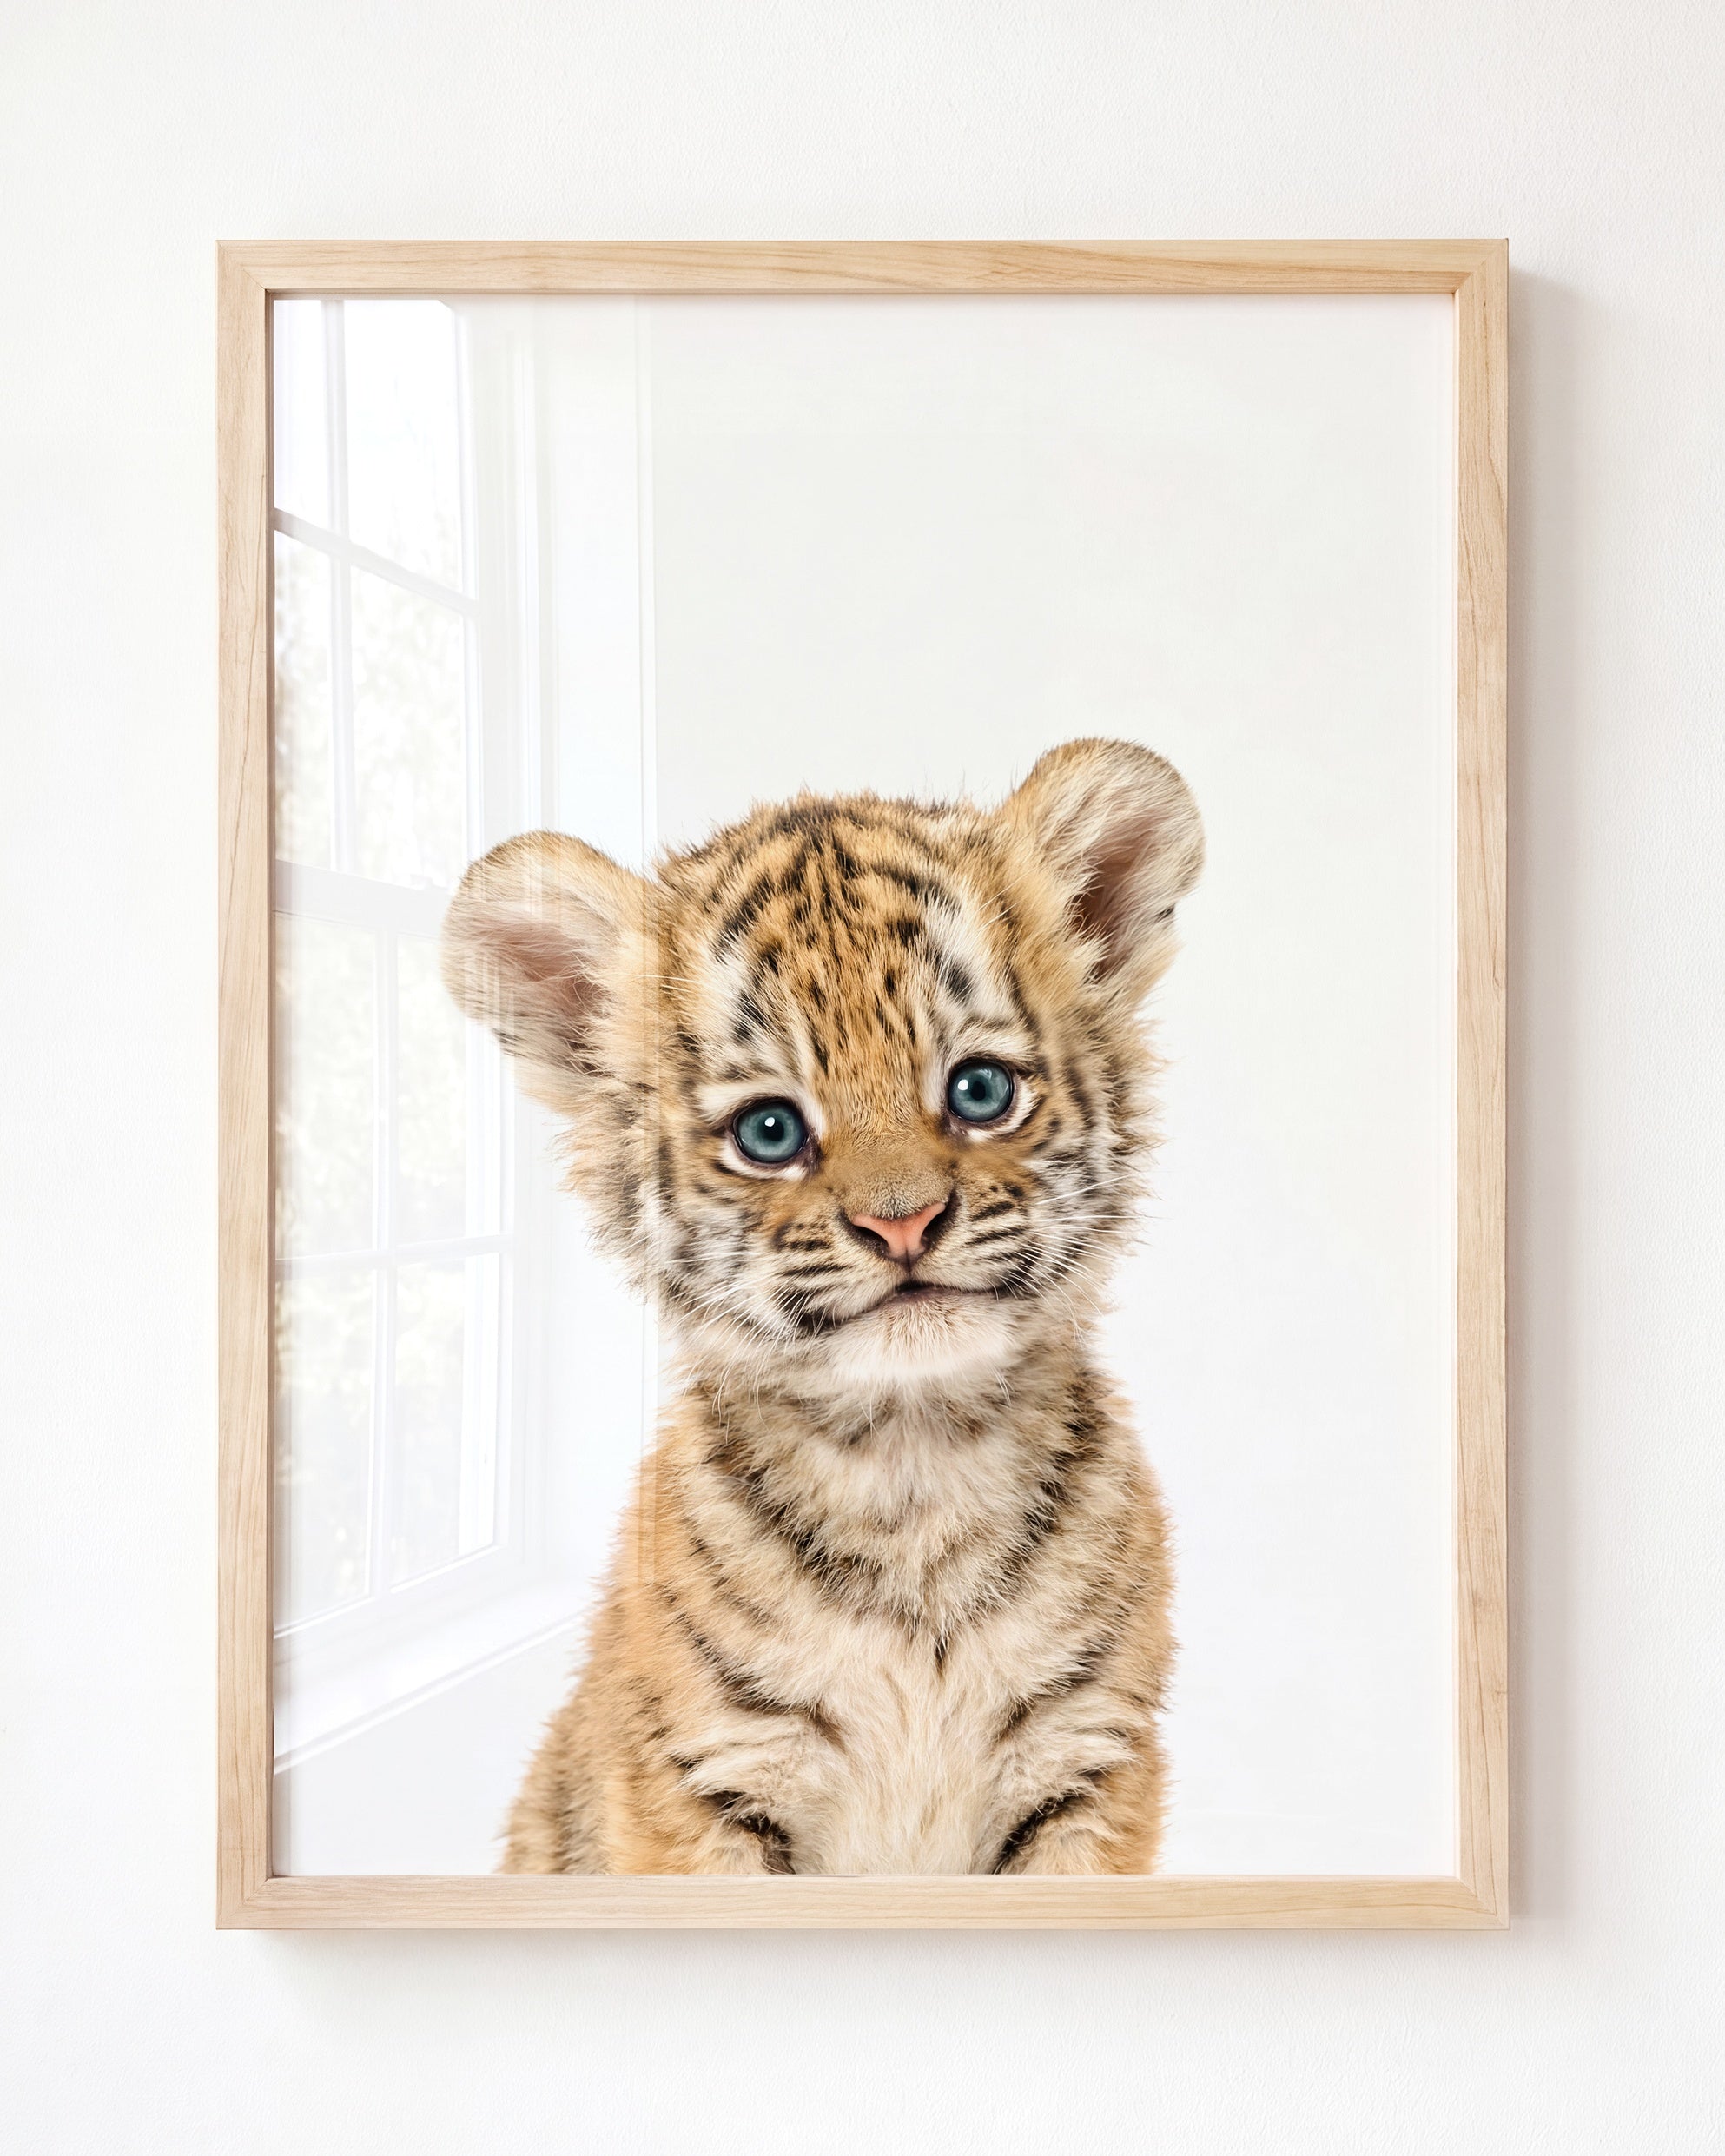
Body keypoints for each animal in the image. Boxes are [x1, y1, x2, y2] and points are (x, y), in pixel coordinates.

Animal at [441, 737, 1204, 1875]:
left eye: (980, 1091)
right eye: (770, 1130)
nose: (904, 1223)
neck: (914, 1467)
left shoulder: (1089, 1762)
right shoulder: (703, 1778)